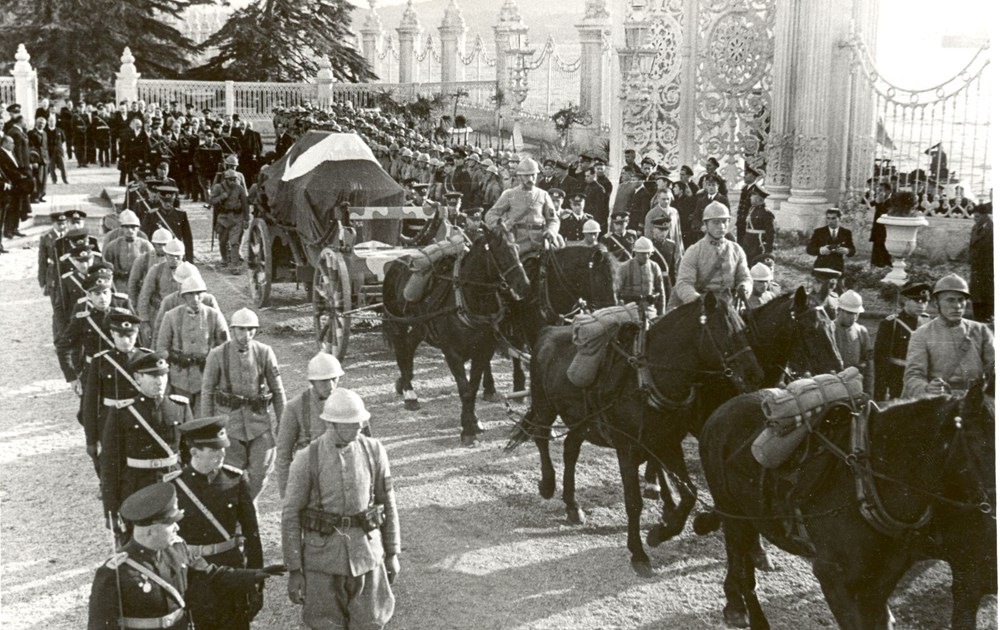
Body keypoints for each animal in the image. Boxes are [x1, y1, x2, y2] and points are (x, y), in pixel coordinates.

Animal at [380, 225, 532, 446]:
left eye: (517, 248)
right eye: (501, 251)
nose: (524, 285)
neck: (467, 300)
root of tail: (395, 262)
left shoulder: (483, 350)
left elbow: (473, 387)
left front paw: (474, 422)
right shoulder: (452, 352)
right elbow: (465, 389)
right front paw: (467, 429)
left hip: (419, 325)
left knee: (409, 346)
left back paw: (405, 382)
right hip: (398, 323)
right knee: (401, 351)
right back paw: (410, 394)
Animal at [508, 294, 764, 580]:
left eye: (745, 327)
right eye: (726, 332)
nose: (755, 374)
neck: (648, 378)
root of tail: (547, 331)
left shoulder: (667, 444)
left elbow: (689, 493)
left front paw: (661, 532)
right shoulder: (627, 449)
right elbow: (633, 503)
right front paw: (639, 553)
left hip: (581, 421)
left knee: (570, 449)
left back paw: (573, 505)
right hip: (545, 405)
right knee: (541, 436)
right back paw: (548, 484)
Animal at [696, 376, 992, 630]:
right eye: (981, 442)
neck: (871, 483)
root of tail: (718, 413)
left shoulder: (882, 581)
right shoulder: (834, 580)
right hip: (733, 514)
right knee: (741, 566)